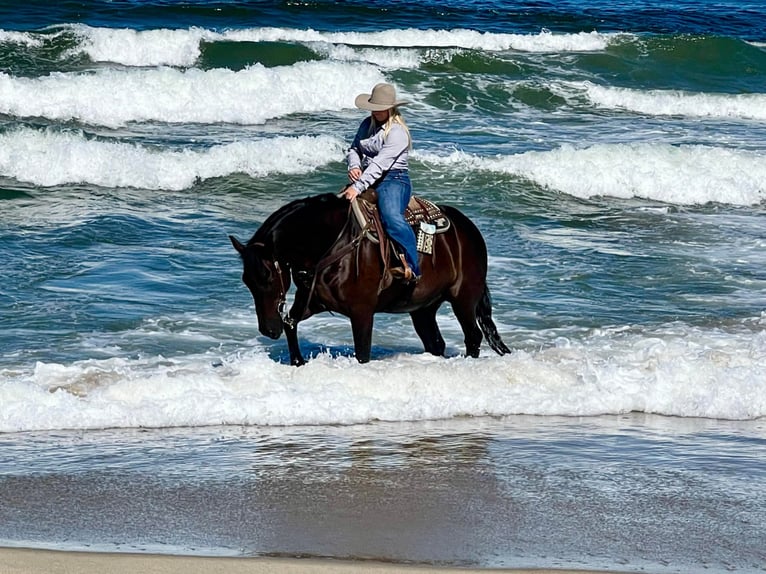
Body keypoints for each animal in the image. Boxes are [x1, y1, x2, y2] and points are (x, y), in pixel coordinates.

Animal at [231, 192, 512, 364]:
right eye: (247, 281)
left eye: (268, 277)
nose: (268, 329)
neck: (332, 241)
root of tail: (470, 230)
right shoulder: (313, 302)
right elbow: (290, 323)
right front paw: (298, 361)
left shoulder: (362, 312)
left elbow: (362, 352)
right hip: (423, 308)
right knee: (435, 342)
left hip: (463, 299)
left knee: (472, 336)